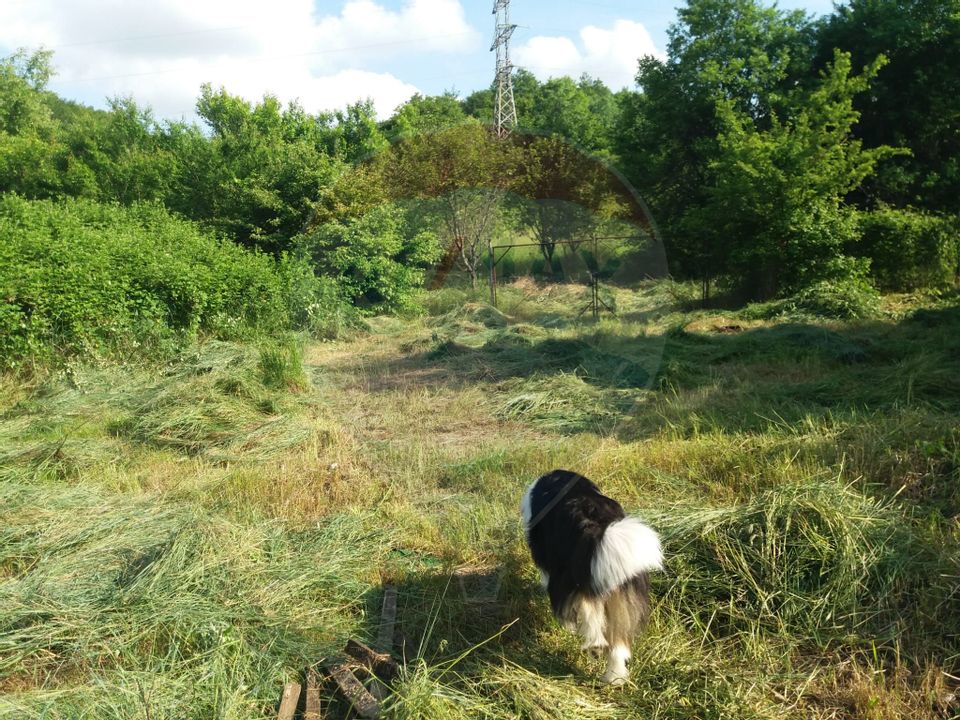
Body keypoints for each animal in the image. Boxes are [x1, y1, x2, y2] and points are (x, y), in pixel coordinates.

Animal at [520, 470, 664, 684]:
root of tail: (592, 521)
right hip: (619, 585)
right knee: (618, 643)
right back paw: (614, 677)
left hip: (571, 578)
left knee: (588, 615)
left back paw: (592, 646)